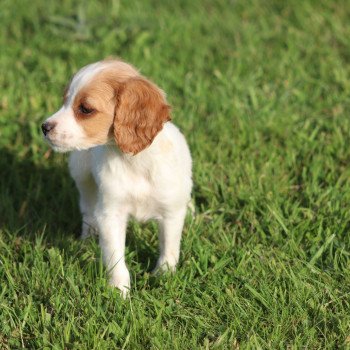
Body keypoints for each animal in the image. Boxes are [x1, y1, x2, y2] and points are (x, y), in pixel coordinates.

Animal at [43, 59, 194, 296]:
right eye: (65, 101)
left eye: (85, 109)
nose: (44, 127)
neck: (134, 162)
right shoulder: (110, 214)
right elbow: (115, 256)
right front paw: (119, 291)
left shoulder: (171, 211)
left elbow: (169, 247)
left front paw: (164, 276)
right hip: (82, 175)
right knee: (87, 209)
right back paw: (87, 239)